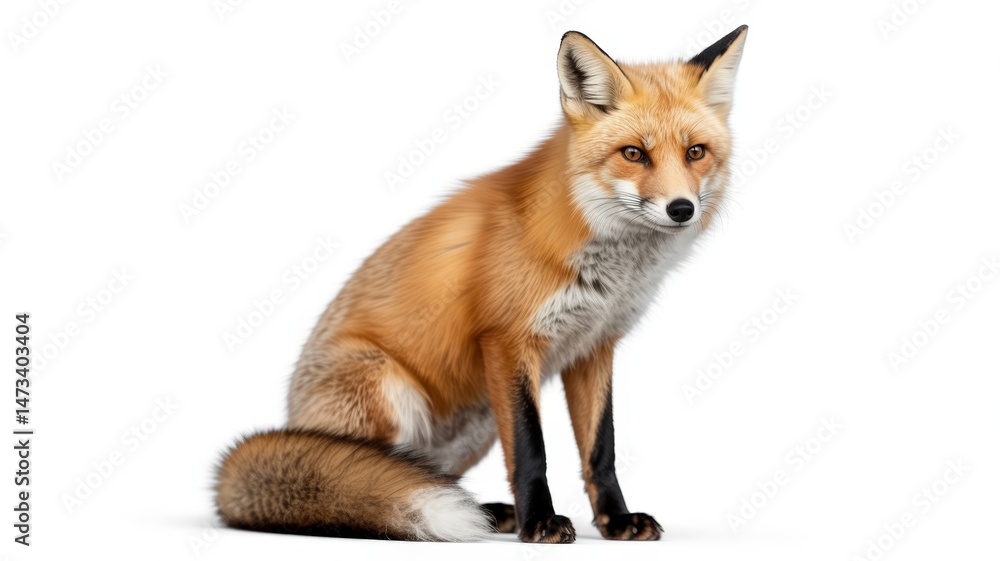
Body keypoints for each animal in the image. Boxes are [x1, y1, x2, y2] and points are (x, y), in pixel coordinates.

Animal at [215, 26, 748, 543]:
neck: (606, 266)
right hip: (388, 390)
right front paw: (541, 524)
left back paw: (488, 512)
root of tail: (293, 421)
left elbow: (601, 449)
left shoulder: (594, 347)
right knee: (366, 483)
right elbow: (532, 449)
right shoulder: (508, 341)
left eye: (695, 153)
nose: (681, 209)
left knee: (424, 475)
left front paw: (616, 521)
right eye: (634, 154)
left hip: (477, 424)